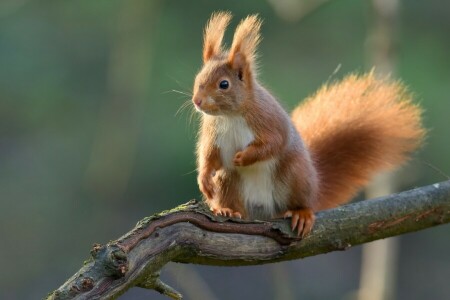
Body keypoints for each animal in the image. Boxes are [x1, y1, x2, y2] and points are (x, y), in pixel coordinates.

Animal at [190, 11, 426, 237]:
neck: (230, 116)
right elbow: (209, 156)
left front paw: (244, 157)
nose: (197, 101)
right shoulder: (212, 133)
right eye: (198, 78)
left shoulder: (269, 119)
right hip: (228, 180)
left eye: (224, 84)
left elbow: (274, 143)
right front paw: (204, 180)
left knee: (301, 201)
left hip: (296, 175)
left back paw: (301, 213)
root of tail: (264, 211)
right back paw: (226, 209)